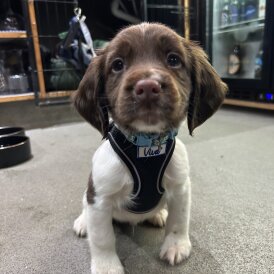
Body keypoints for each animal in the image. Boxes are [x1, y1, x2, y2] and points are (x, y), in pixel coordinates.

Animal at [72, 22, 227, 272]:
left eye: (173, 59)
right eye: (117, 64)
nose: (147, 86)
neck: (146, 146)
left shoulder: (181, 186)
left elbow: (179, 220)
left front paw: (176, 246)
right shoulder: (100, 196)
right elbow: (103, 238)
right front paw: (107, 265)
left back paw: (158, 214)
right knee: (84, 206)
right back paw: (82, 222)